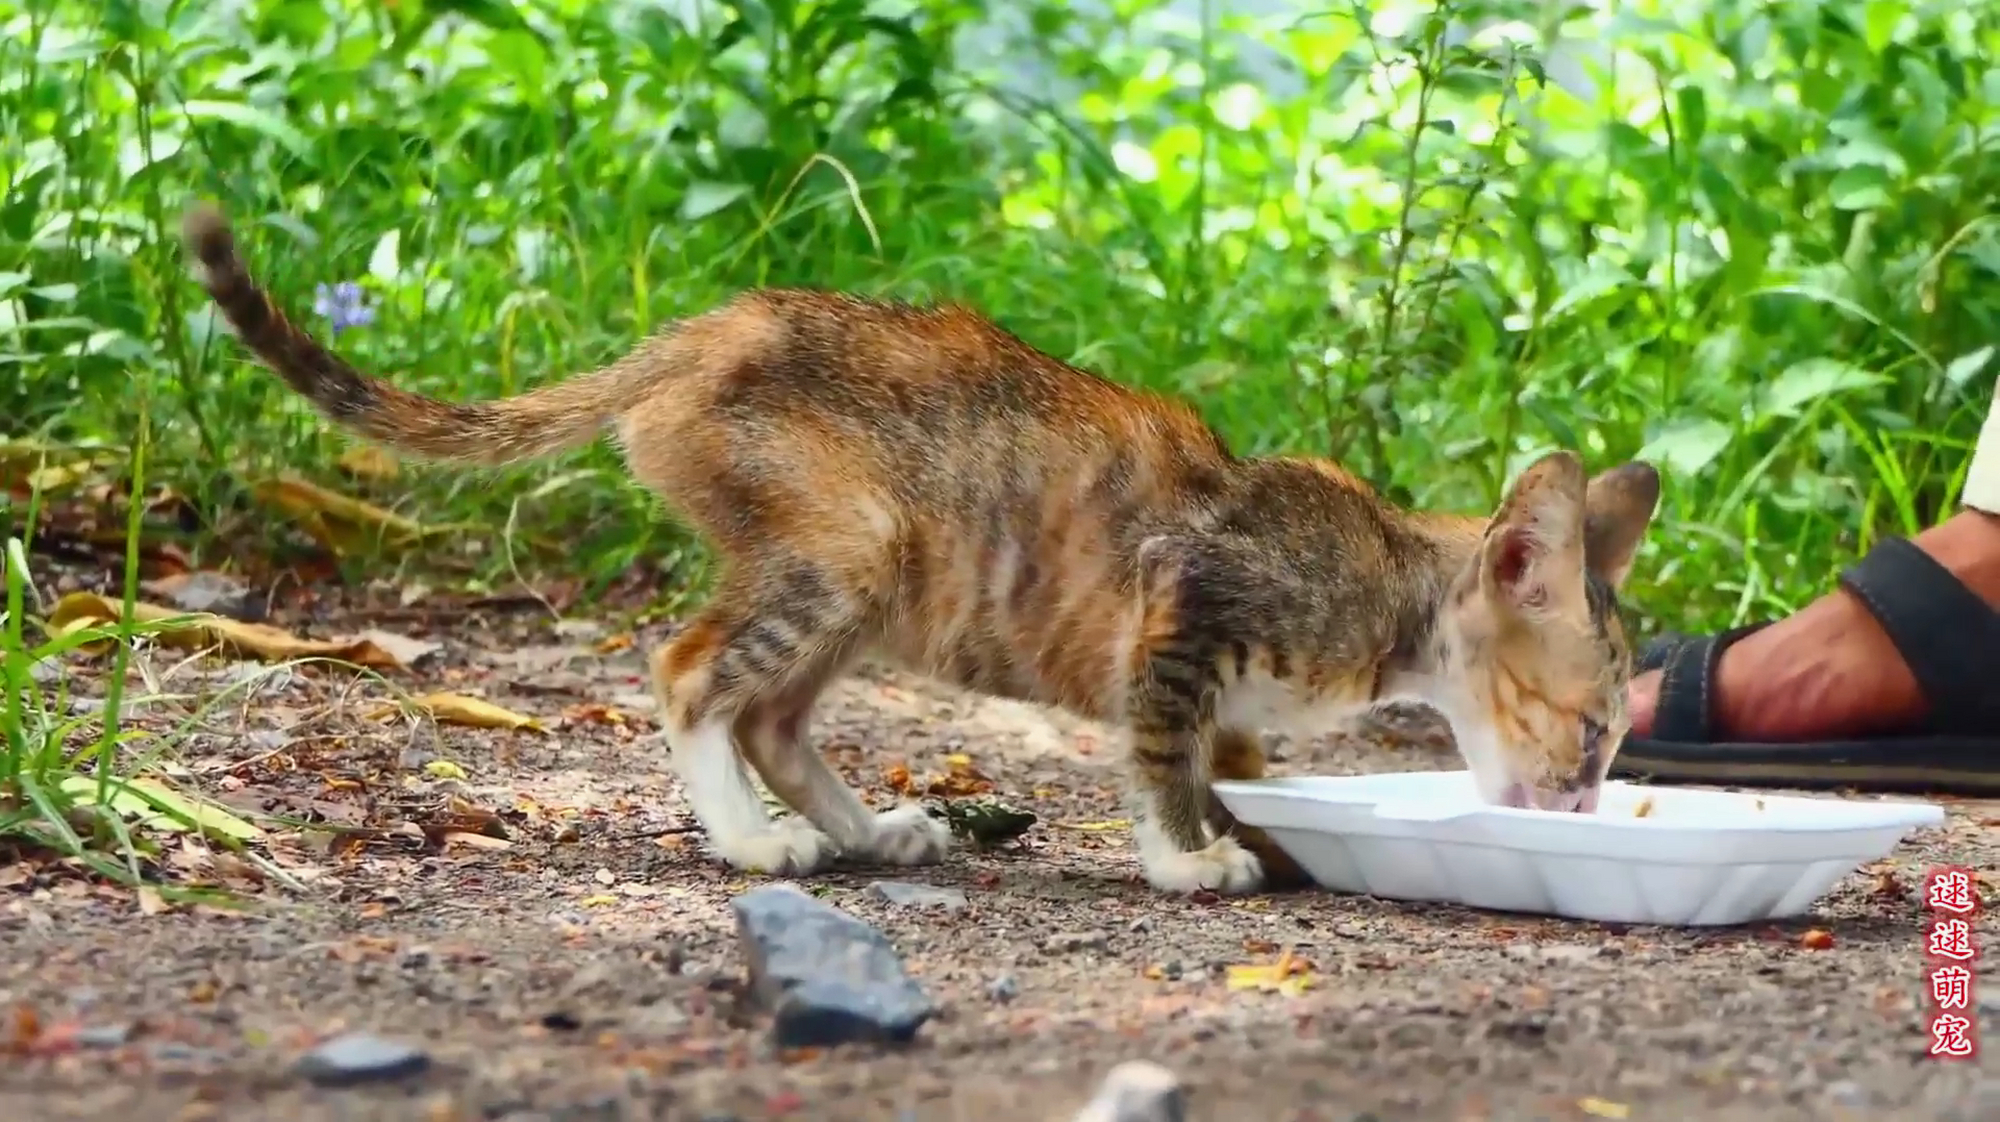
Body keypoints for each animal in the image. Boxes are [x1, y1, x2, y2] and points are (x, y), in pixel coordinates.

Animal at [184, 201, 1656, 896]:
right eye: (1591, 733)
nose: (1587, 812)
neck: (1387, 581)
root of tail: (706, 328)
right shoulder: (1180, 602)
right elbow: (1160, 758)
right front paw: (1187, 857)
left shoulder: (1217, 677)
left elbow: (1223, 762)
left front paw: (1252, 833)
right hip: (847, 541)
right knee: (691, 673)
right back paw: (747, 839)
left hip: (876, 582)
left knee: (772, 713)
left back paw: (863, 828)